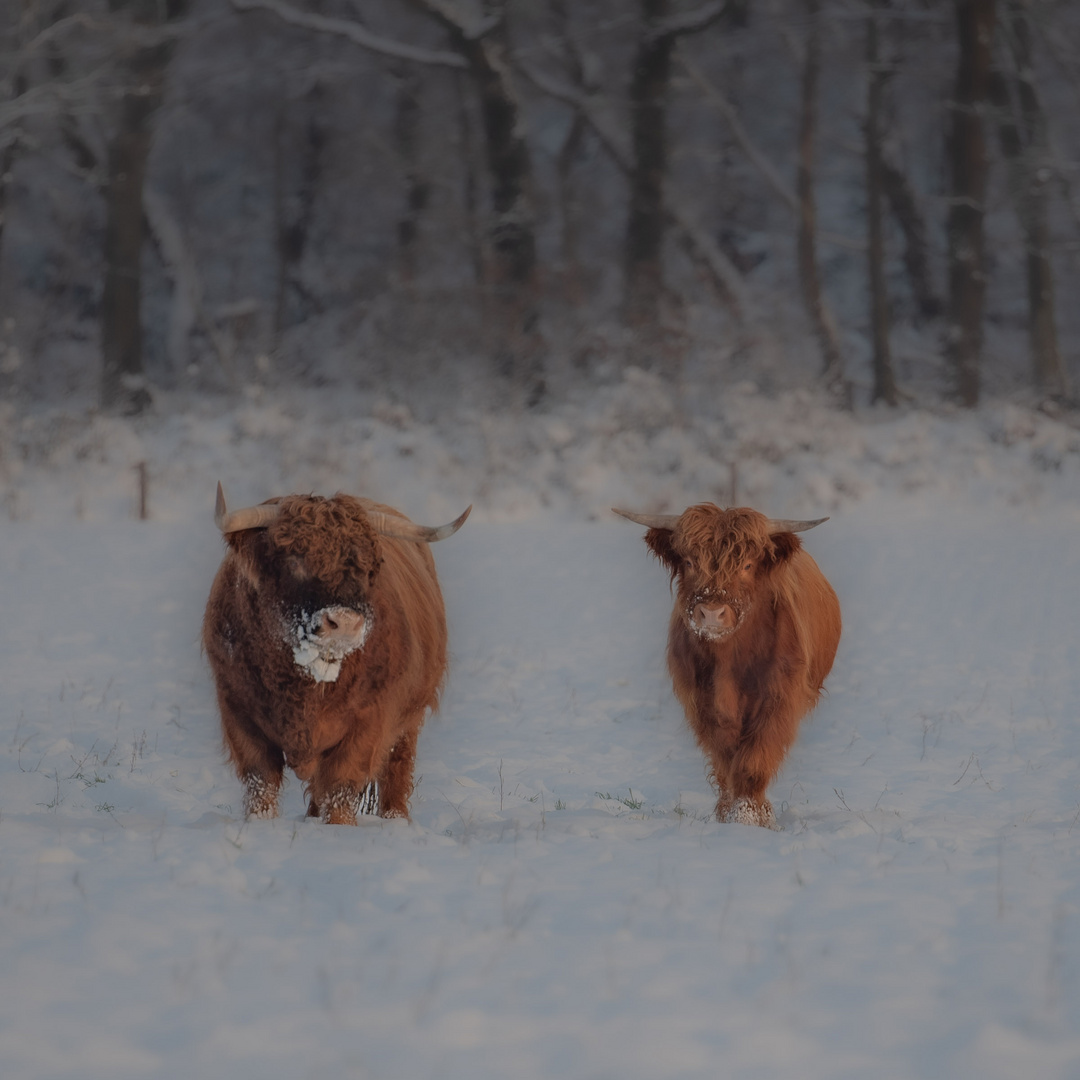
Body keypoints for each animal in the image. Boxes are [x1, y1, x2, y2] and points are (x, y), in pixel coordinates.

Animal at [204, 486, 470, 820]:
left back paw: (395, 819)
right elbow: (261, 782)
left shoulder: (370, 720)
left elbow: (339, 785)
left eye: (368, 567)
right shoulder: (238, 712)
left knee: (397, 770)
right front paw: (259, 822)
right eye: (294, 560)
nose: (344, 622)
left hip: (409, 720)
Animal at [613, 503, 838, 825]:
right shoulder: (703, 703)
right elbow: (725, 757)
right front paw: (731, 813)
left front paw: (752, 815)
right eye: (690, 562)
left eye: (747, 565)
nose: (711, 613)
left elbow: (754, 758)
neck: (731, 659)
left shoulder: (779, 698)